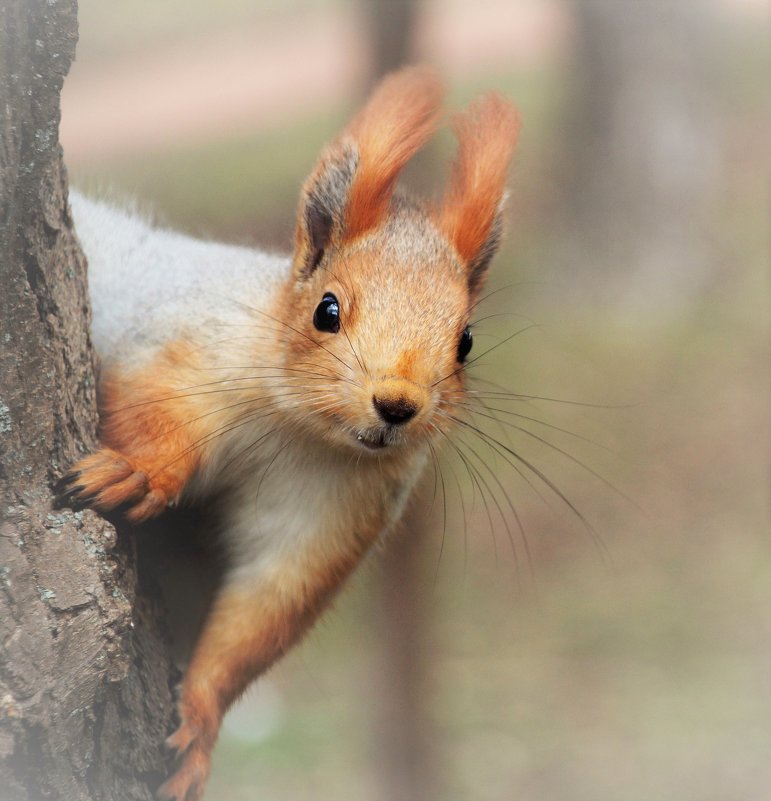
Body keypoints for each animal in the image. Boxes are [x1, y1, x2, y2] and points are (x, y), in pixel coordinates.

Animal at [57, 69, 520, 800]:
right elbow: (152, 414)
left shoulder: (334, 505)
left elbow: (267, 599)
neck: (298, 425)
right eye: (326, 310)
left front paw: (199, 719)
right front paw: (136, 473)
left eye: (466, 341)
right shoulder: (177, 347)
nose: (397, 405)